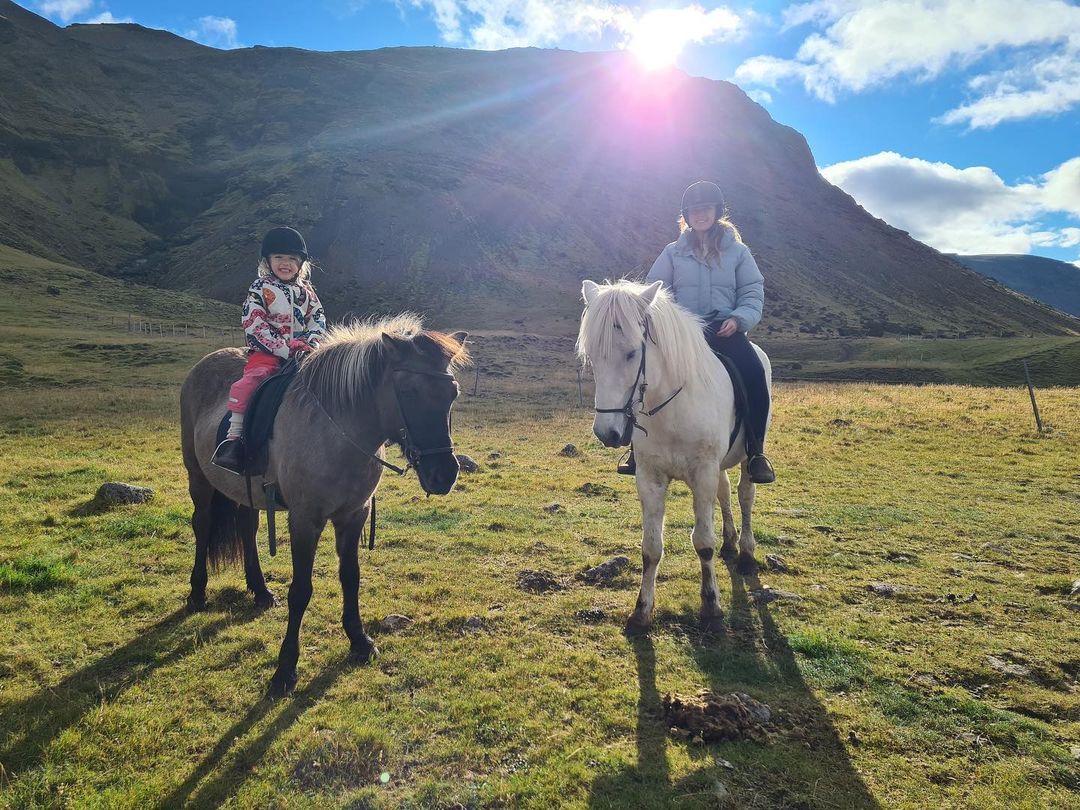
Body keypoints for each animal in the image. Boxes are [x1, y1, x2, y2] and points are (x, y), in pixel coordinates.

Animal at [179, 313, 466, 695]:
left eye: (453, 393)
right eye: (408, 391)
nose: (444, 474)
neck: (339, 431)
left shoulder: (353, 515)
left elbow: (351, 577)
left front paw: (360, 642)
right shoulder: (305, 520)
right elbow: (301, 591)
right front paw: (285, 669)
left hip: (245, 490)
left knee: (247, 529)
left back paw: (260, 590)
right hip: (198, 478)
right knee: (203, 525)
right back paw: (197, 592)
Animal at [578, 278, 773, 635]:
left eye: (632, 352)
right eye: (592, 357)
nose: (607, 432)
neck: (671, 407)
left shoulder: (703, 473)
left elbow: (703, 542)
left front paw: (711, 608)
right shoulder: (650, 478)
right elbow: (651, 547)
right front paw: (641, 611)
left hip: (745, 461)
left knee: (744, 495)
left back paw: (746, 552)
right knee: (726, 494)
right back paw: (730, 543)